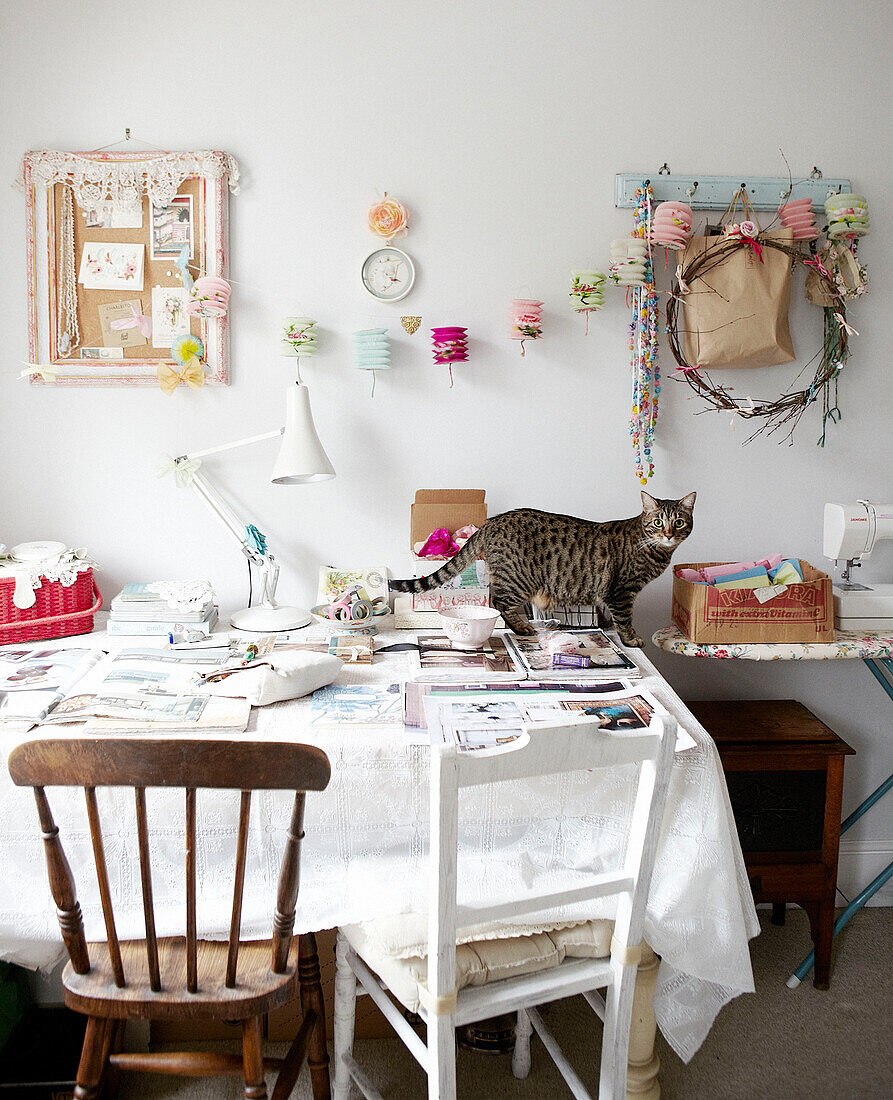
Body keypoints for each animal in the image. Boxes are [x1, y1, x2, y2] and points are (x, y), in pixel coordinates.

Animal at [391, 490, 699, 642]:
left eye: (679, 522)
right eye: (658, 522)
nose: (668, 533)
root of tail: (491, 523)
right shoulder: (622, 592)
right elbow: (625, 620)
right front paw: (632, 639)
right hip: (516, 579)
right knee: (499, 602)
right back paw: (522, 628)